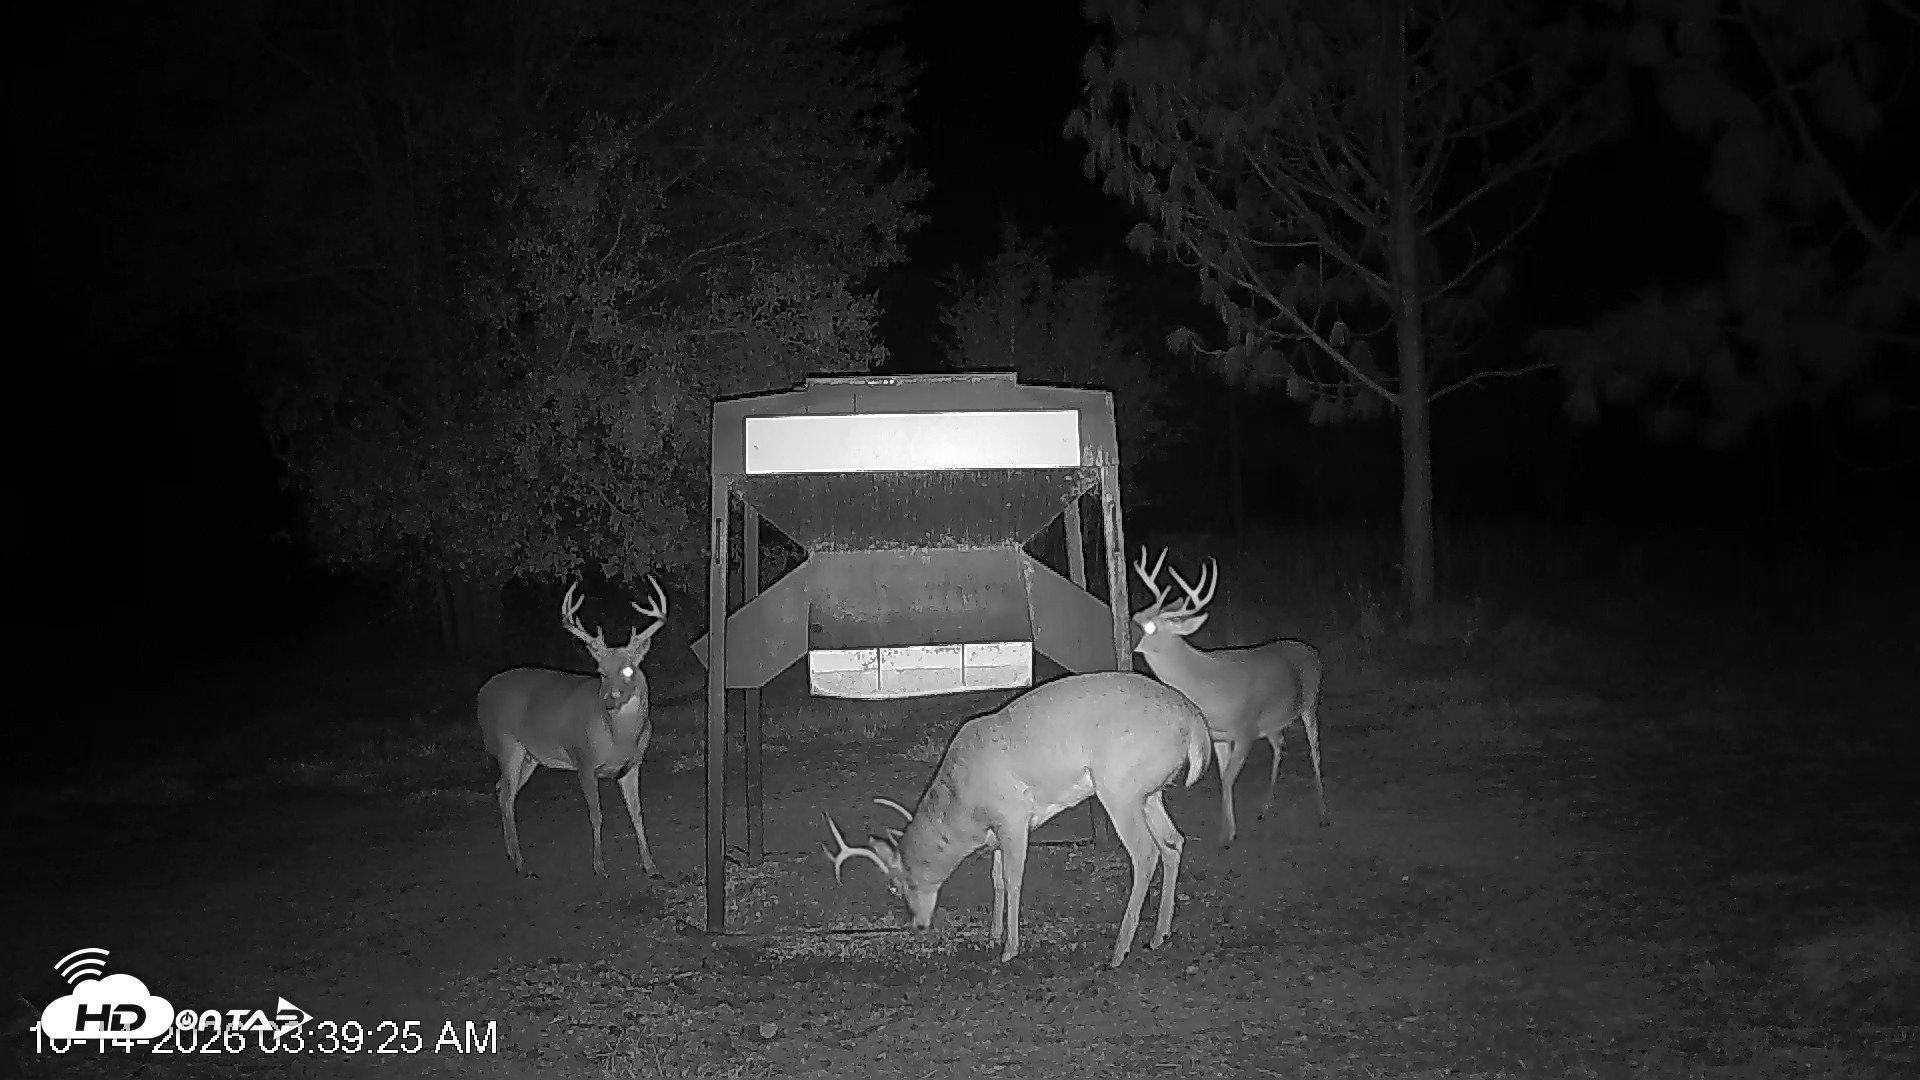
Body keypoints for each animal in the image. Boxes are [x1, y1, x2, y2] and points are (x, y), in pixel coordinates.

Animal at [476, 579, 668, 879]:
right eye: (600, 671)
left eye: (628, 670)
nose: (608, 700)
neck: (618, 738)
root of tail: (480, 695)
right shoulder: (584, 760)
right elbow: (596, 815)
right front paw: (599, 867)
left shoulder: (632, 765)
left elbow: (637, 813)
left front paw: (651, 866)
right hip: (506, 744)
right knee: (506, 794)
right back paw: (521, 863)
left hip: (530, 756)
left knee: (501, 790)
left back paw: (511, 854)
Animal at [822, 670, 1211, 970]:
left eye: (896, 885)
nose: (917, 925)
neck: (965, 806)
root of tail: (1195, 723)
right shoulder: (998, 829)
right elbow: (995, 878)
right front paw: (993, 934)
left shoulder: (1013, 817)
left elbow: (1013, 880)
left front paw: (1010, 949)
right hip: (1149, 793)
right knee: (1173, 841)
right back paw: (1158, 935)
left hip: (1119, 788)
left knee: (1146, 852)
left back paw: (1118, 952)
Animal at [1132, 548, 1327, 846]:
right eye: (1140, 616)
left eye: (1151, 628)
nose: (1132, 631)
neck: (1206, 690)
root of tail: (1312, 650)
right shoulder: (1219, 736)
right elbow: (1223, 777)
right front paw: (1225, 830)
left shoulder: (1245, 730)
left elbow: (1227, 779)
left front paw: (1228, 836)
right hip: (1272, 723)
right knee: (1279, 744)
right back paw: (1265, 807)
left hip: (1310, 702)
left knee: (1314, 750)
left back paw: (1323, 811)